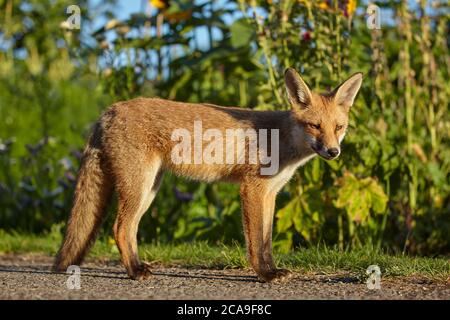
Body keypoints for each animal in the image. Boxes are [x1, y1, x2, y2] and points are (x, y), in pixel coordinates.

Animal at [53, 68, 362, 282]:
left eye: (339, 127)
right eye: (314, 126)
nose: (334, 152)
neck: (280, 140)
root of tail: (108, 110)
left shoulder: (270, 193)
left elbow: (267, 240)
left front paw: (272, 270)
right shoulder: (251, 189)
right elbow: (255, 242)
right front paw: (265, 275)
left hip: (149, 189)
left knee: (128, 229)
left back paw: (138, 266)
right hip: (138, 187)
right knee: (118, 228)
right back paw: (135, 271)